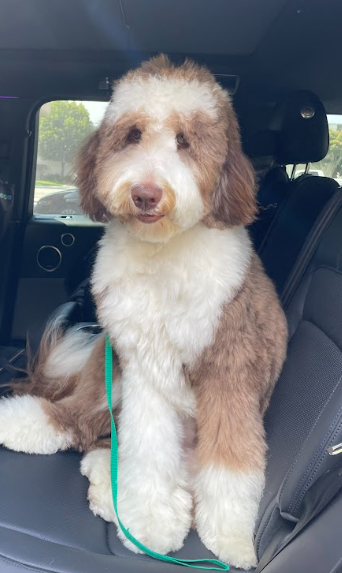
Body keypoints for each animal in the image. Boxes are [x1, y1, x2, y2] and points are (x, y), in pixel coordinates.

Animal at [0, 55, 288, 564]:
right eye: (133, 134)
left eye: (185, 141)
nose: (146, 193)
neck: (162, 254)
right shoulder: (141, 365)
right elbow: (149, 448)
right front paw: (151, 521)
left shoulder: (229, 368)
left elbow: (231, 462)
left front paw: (230, 539)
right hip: (107, 369)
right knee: (76, 420)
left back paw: (106, 485)